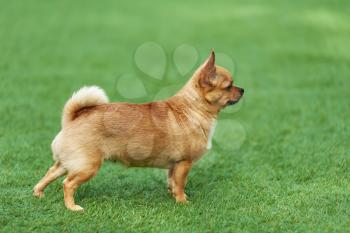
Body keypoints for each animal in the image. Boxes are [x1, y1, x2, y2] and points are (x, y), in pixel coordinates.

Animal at [34, 51, 245, 211]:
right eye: (229, 86)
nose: (242, 89)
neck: (193, 108)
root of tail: (73, 118)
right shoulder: (184, 164)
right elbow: (180, 184)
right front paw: (183, 202)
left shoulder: (173, 166)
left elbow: (172, 182)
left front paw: (173, 197)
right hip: (87, 166)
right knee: (67, 184)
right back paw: (72, 207)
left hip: (68, 163)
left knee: (50, 173)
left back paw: (38, 193)